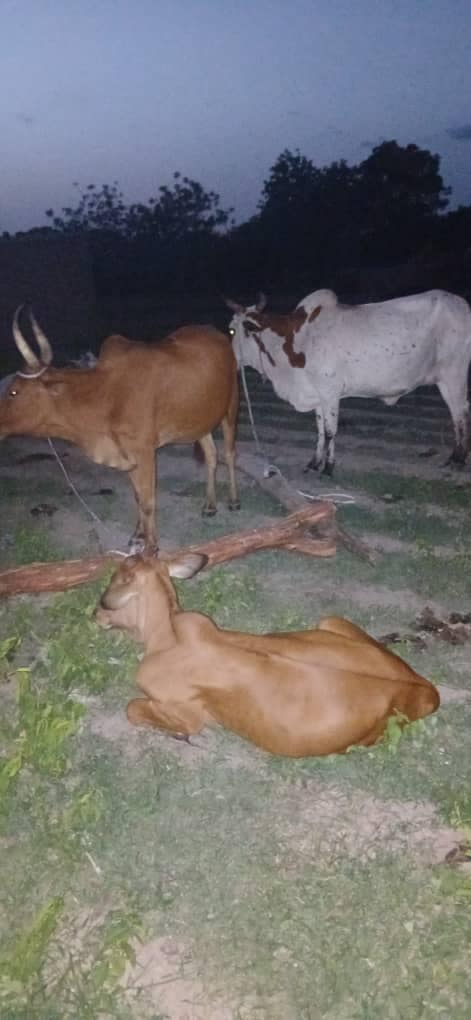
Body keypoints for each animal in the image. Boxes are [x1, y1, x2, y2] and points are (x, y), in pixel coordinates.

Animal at [0, 307, 240, 552]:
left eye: (13, 391)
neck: (106, 393)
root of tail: (218, 335)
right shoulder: (127, 453)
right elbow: (138, 496)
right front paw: (138, 535)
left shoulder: (145, 451)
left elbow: (148, 500)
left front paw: (151, 547)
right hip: (201, 419)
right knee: (211, 455)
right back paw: (210, 505)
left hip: (231, 407)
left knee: (229, 454)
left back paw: (233, 501)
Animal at [94, 553, 440, 757]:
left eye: (111, 585)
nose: (95, 613)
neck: (168, 636)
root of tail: (427, 689)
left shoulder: (188, 713)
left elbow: (133, 709)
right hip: (331, 621)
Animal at [226, 289, 471, 475]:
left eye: (233, 330)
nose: (231, 361)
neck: (296, 339)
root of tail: (461, 304)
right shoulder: (317, 395)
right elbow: (319, 430)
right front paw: (314, 462)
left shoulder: (330, 393)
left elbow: (330, 431)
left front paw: (328, 467)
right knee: (457, 412)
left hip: (454, 375)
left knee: (460, 412)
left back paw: (458, 458)